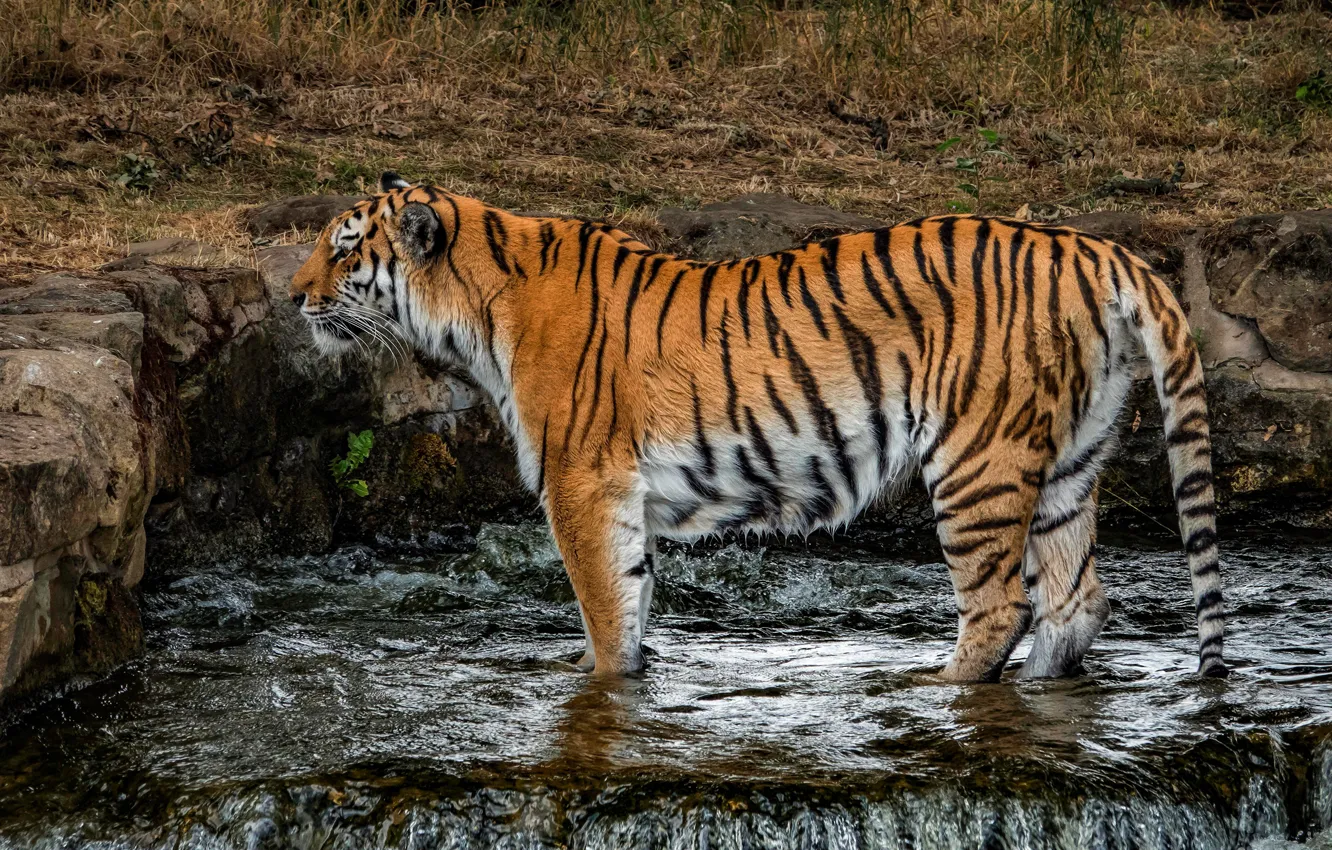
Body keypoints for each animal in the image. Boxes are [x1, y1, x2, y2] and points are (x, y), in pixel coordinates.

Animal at [289, 172, 1226, 682]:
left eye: (344, 248)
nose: (295, 296)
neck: (475, 311)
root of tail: (1093, 248)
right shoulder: (620, 500)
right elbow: (632, 603)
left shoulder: (581, 483)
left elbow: (603, 614)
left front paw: (598, 679)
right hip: (1070, 462)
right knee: (1078, 600)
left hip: (977, 460)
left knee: (1004, 604)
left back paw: (935, 687)